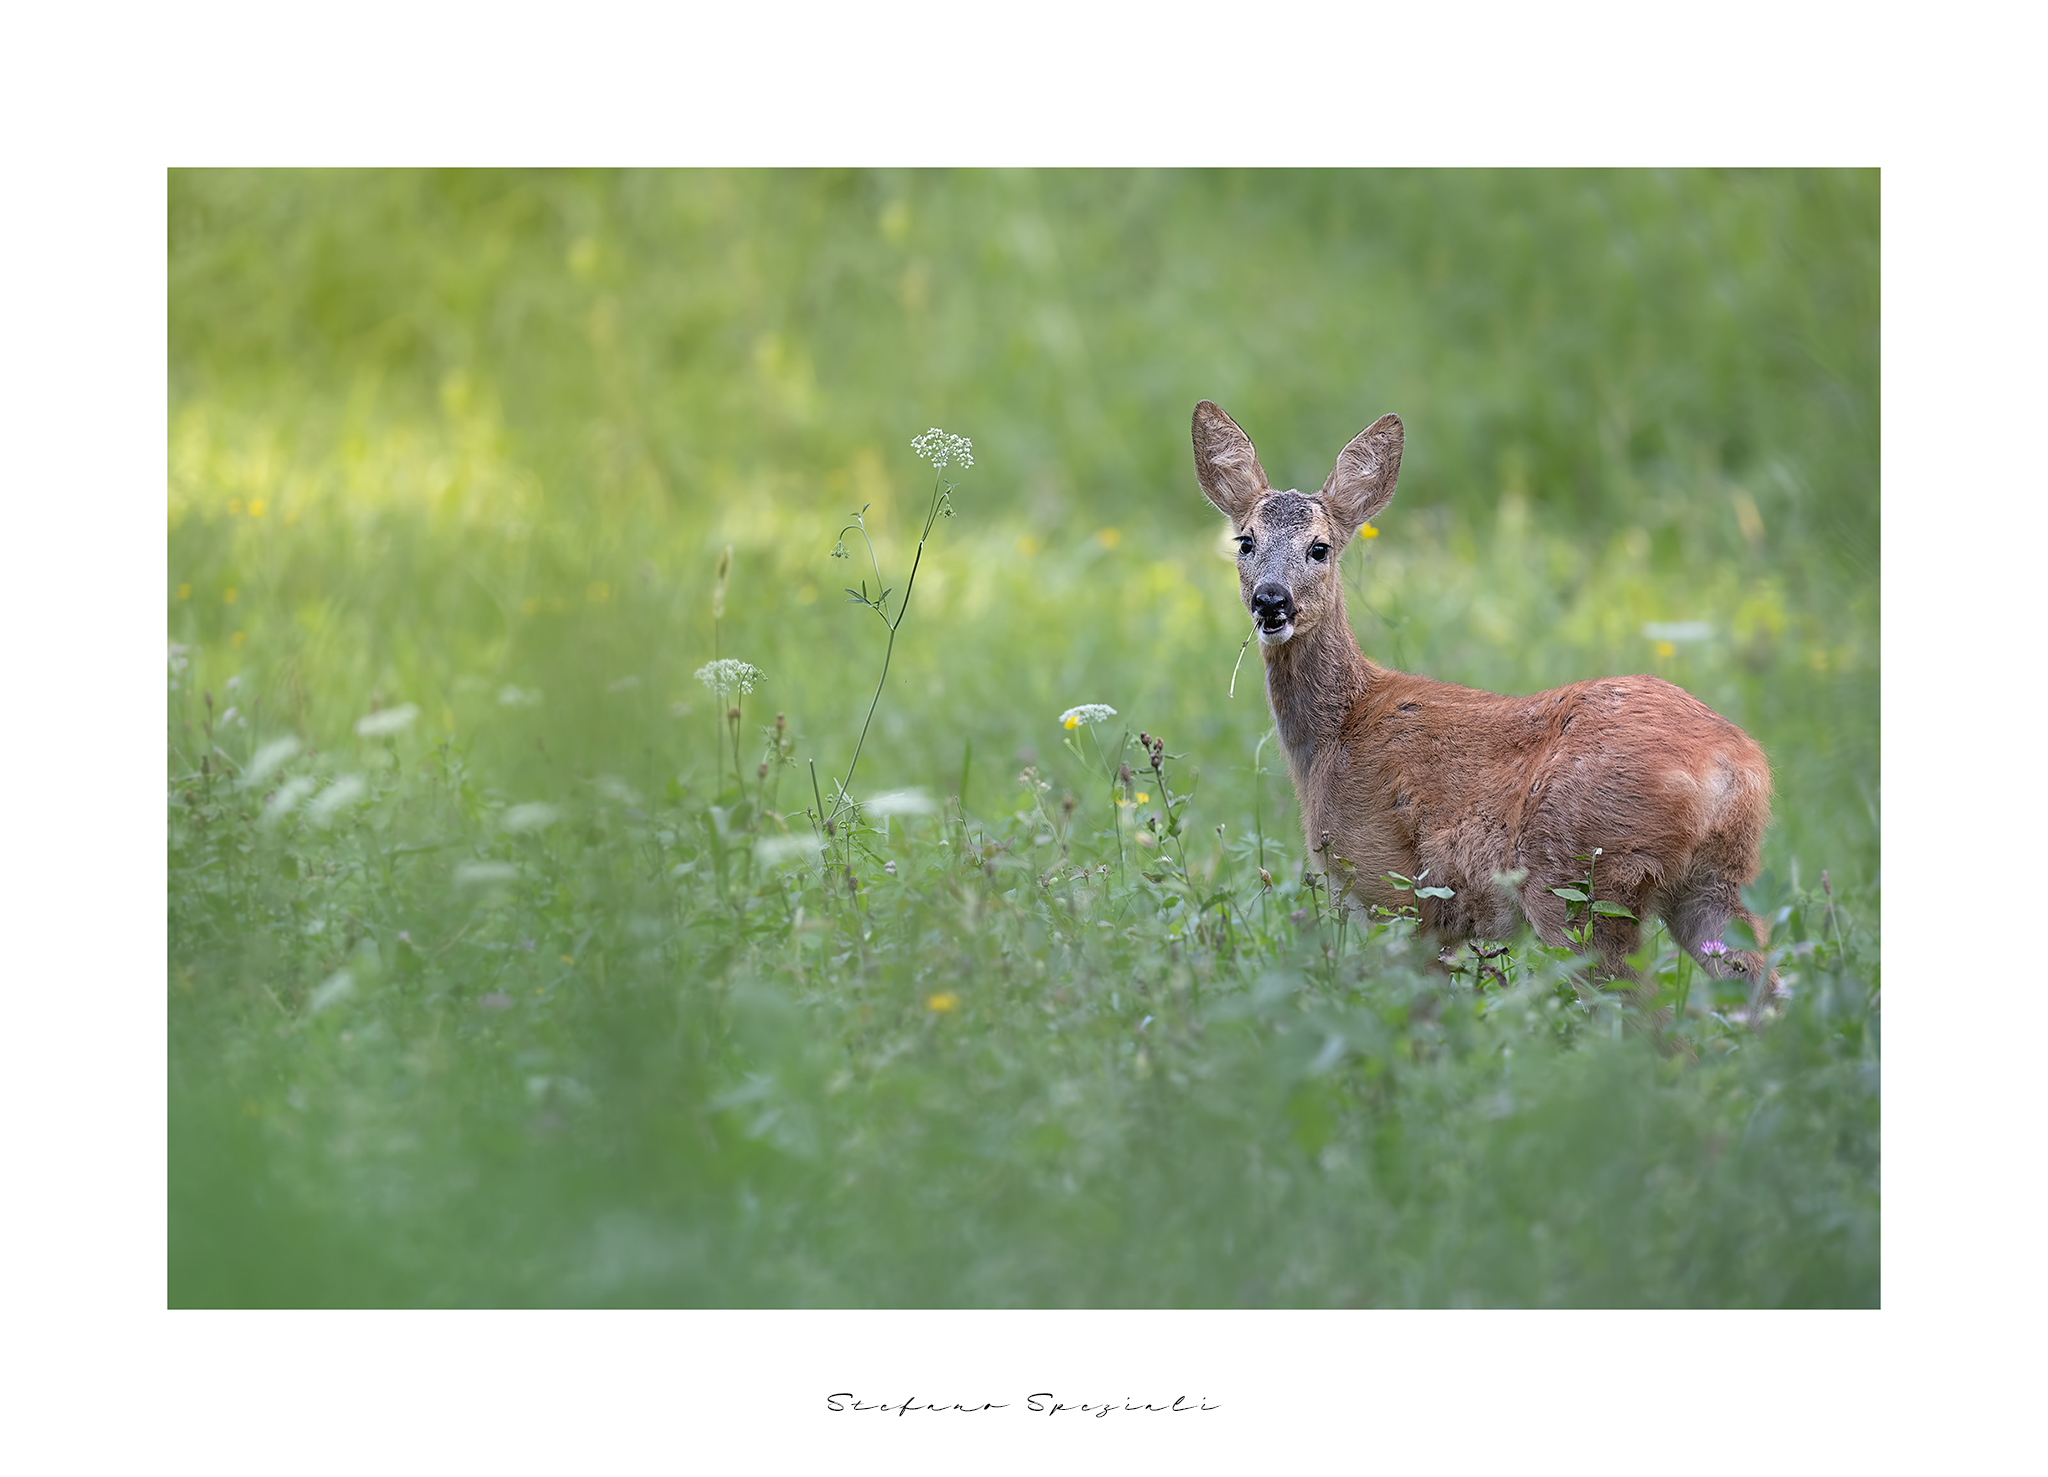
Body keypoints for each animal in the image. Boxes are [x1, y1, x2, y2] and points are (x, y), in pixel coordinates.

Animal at [1191, 400, 1780, 1018]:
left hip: (1581, 880)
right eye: (1245, 541)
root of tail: (1732, 767)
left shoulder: (1394, 885)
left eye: (1319, 548)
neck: (1339, 731)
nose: (1271, 600)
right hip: (1716, 881)